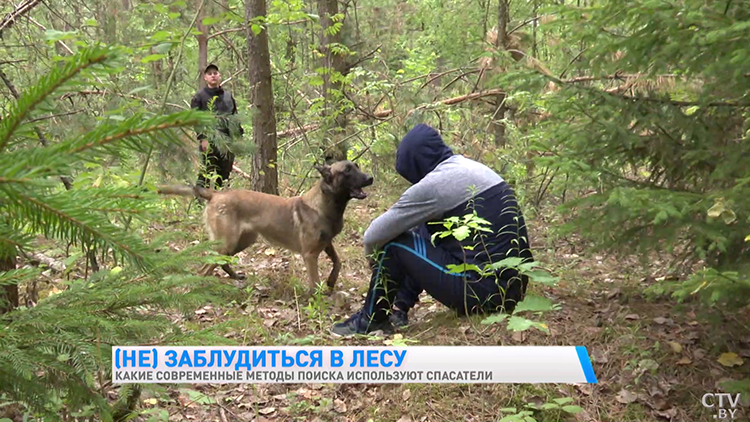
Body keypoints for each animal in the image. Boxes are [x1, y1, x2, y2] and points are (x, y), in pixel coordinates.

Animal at [157, 160, 374, 296]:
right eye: (347, 171)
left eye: (356, 166)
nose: (370, 178)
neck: (325, 204)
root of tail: (215, 194)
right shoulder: (310, 254)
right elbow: (314, 281)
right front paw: (317, 298)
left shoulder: (327, 243)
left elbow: (338, 262)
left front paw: (331, 281)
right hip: (228, 242)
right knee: (204, 268)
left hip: (242, 241)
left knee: (221, 262)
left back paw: (234, 277)